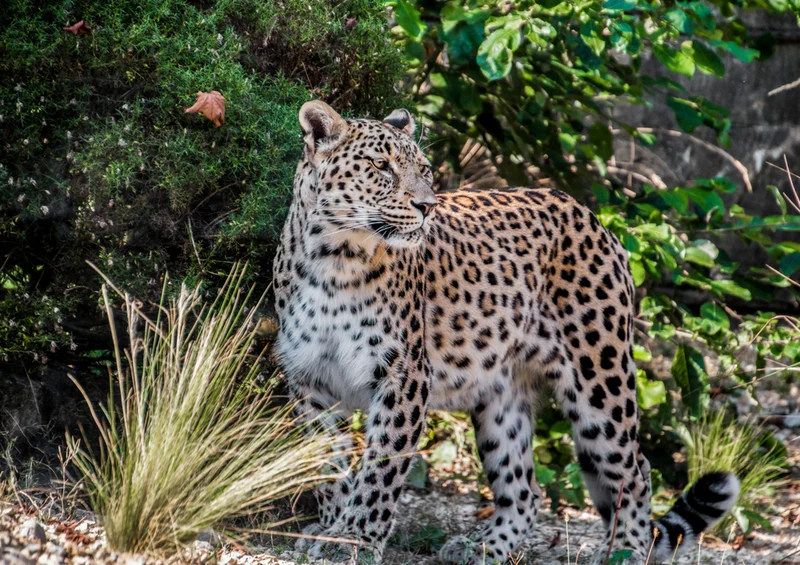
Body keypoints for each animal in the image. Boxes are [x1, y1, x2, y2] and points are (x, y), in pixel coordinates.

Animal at [272, 100, 739, 565]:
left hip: (600, 383)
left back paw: (625, 550)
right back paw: (483, 546)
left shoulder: (403, 376)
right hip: (501, 396)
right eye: (380, 166)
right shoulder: (310, 379)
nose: (427, 206)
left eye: (424, 169)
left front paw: (356, 540)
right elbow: (324, 465)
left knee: (635, 471)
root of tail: (592, 216)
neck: (335, 257)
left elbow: (381, 466)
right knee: (525, 490)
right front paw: (331, 529)